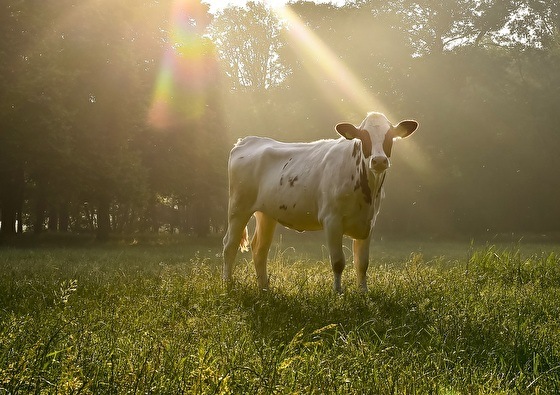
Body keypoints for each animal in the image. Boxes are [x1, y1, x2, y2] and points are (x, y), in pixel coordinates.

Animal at [221, 112, 418, 294]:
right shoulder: (332, 220)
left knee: (259, 249)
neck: (367, 191)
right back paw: (228, 285)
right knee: (230, 245)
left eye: (390, 135)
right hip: (238, 207)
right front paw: (338, 293)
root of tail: (248, 140)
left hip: (267, 213)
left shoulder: (368, 222)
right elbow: (338, 262)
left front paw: (363, 293)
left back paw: (264, 289)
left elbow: (362, 263)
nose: (379, 161)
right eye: (363, 136)